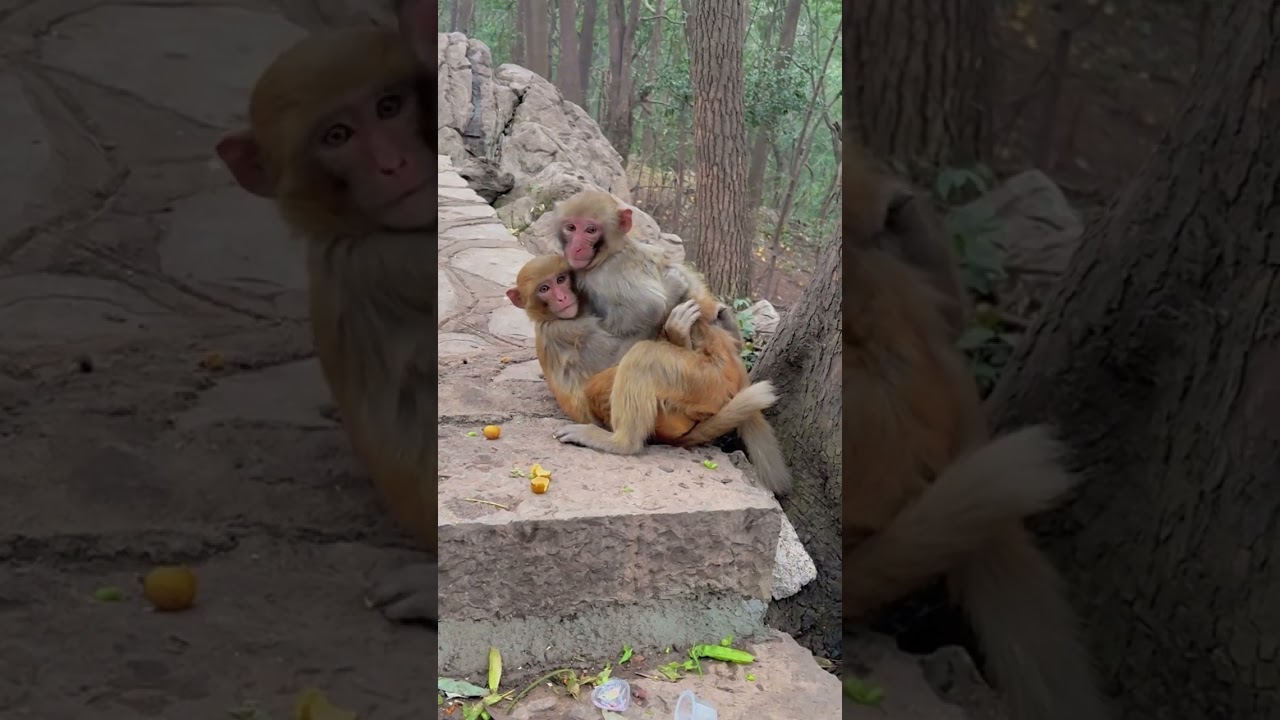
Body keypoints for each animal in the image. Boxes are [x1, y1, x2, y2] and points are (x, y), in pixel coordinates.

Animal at [545, 191, 792, 494]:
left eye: (590, 230)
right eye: (571, 227)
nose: (577, 247)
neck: (610, 253)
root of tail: (735, 367)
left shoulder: (607, 278)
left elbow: (648, 309)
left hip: (705, 380)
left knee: (643, 357)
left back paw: (619, 442)